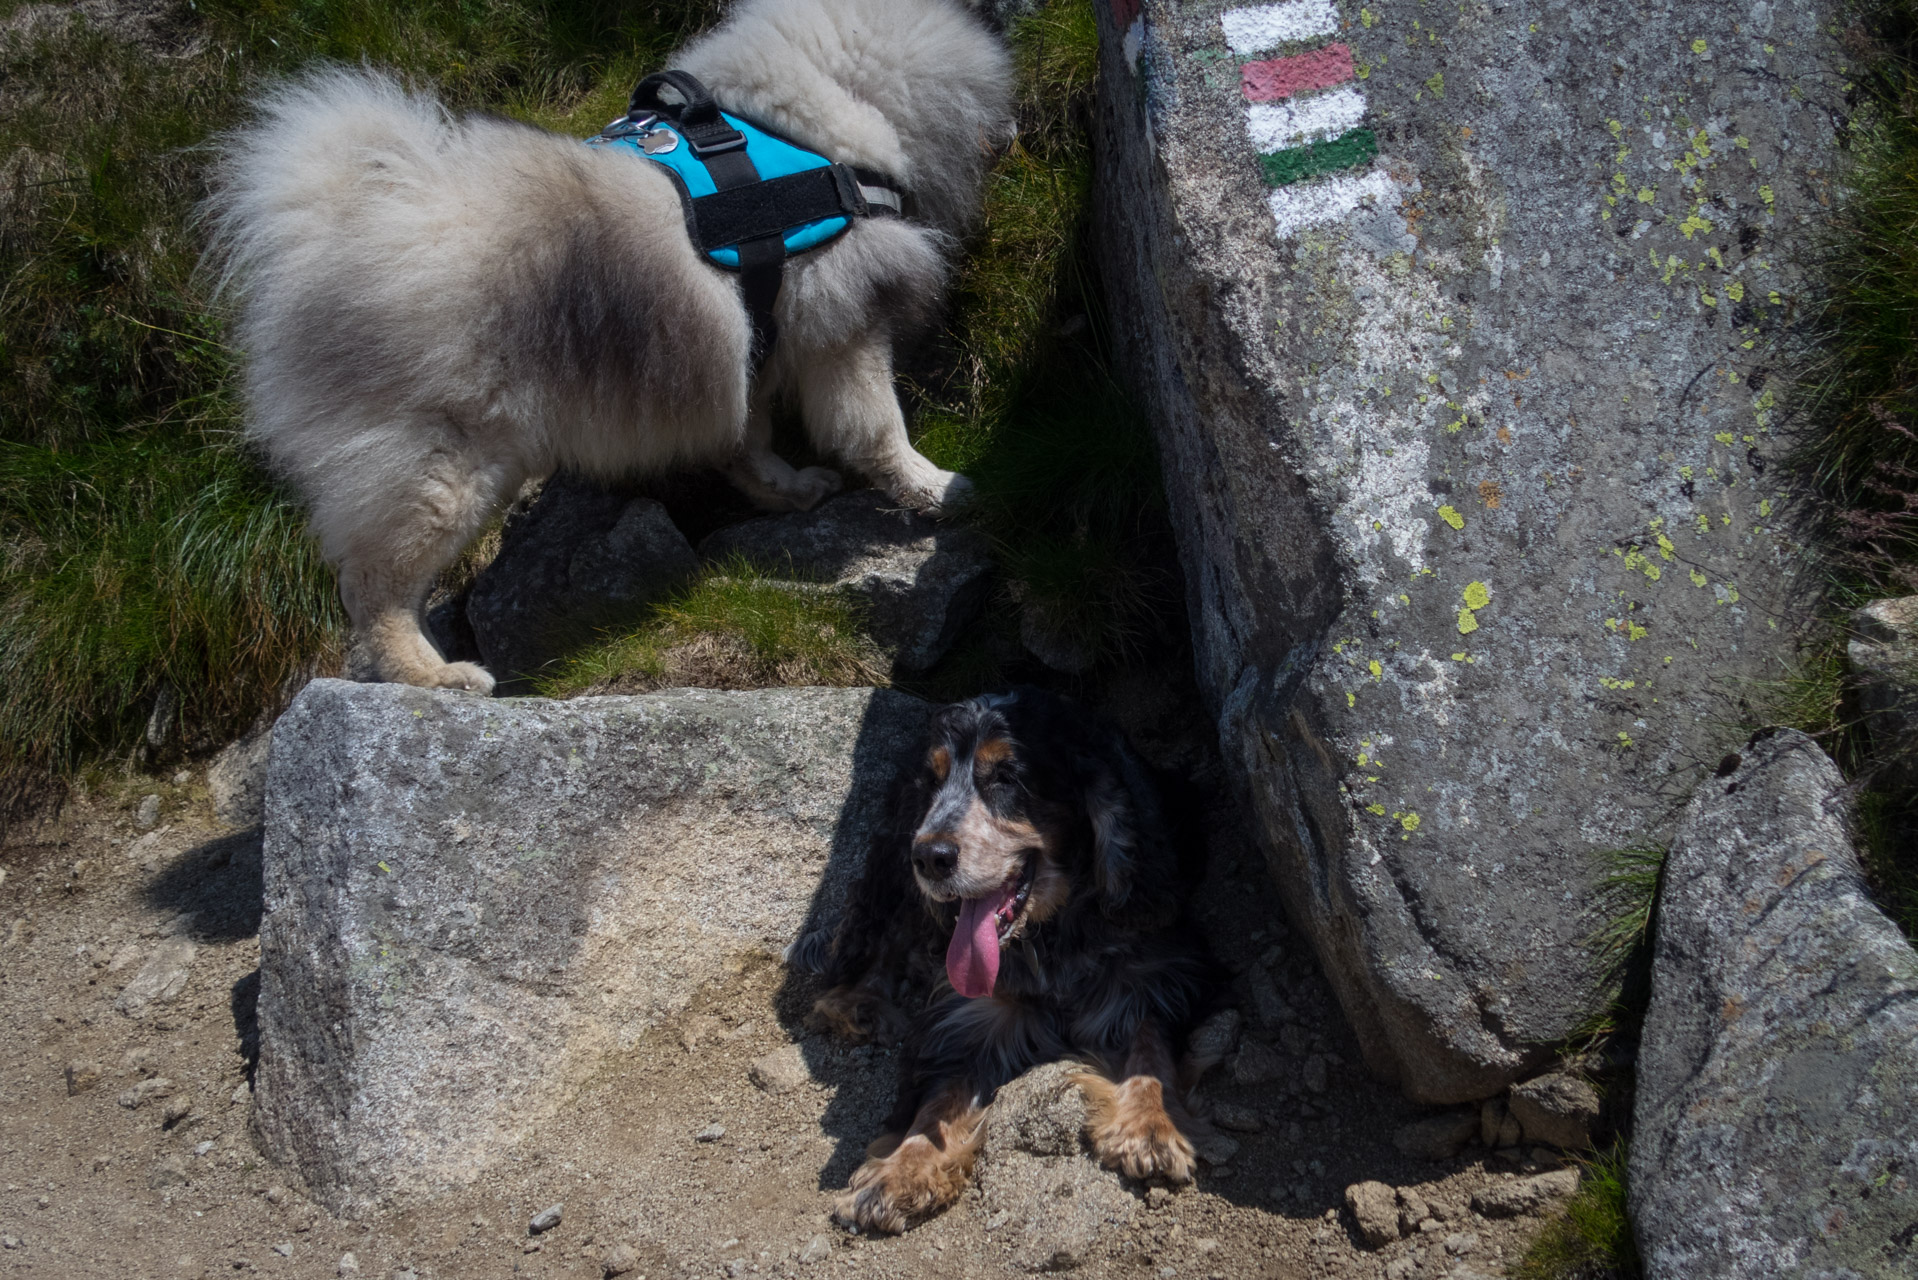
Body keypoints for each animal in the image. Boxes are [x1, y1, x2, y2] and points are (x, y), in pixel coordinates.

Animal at [206, 0, 1020, 694]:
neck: (816, 112)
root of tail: (326, 231)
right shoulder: (844, 323)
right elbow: (876, 428)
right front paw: (934, 488)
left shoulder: (751, 338)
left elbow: (748, 440)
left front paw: (786, 490)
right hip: (443, 469)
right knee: (374, 591)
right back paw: (435, 677)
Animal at [801, 694, 1219, 1235]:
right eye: (933, 780)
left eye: (1005, 776)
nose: (930, 856)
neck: (1048, 936)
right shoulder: (970, 1018)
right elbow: (937, 1105)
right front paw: (898, 1174)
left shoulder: (1159, 972)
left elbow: (1151, 1046)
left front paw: (1150, 1127)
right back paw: (857, 1005)